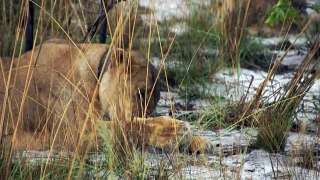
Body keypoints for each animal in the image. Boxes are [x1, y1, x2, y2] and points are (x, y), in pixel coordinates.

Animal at [0, 38, 211, 154]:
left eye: (156, 100)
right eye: (140, 93)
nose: (146, 113)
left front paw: (199, 141)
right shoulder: (75, 133)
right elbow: (129, 127)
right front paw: (174, 130)